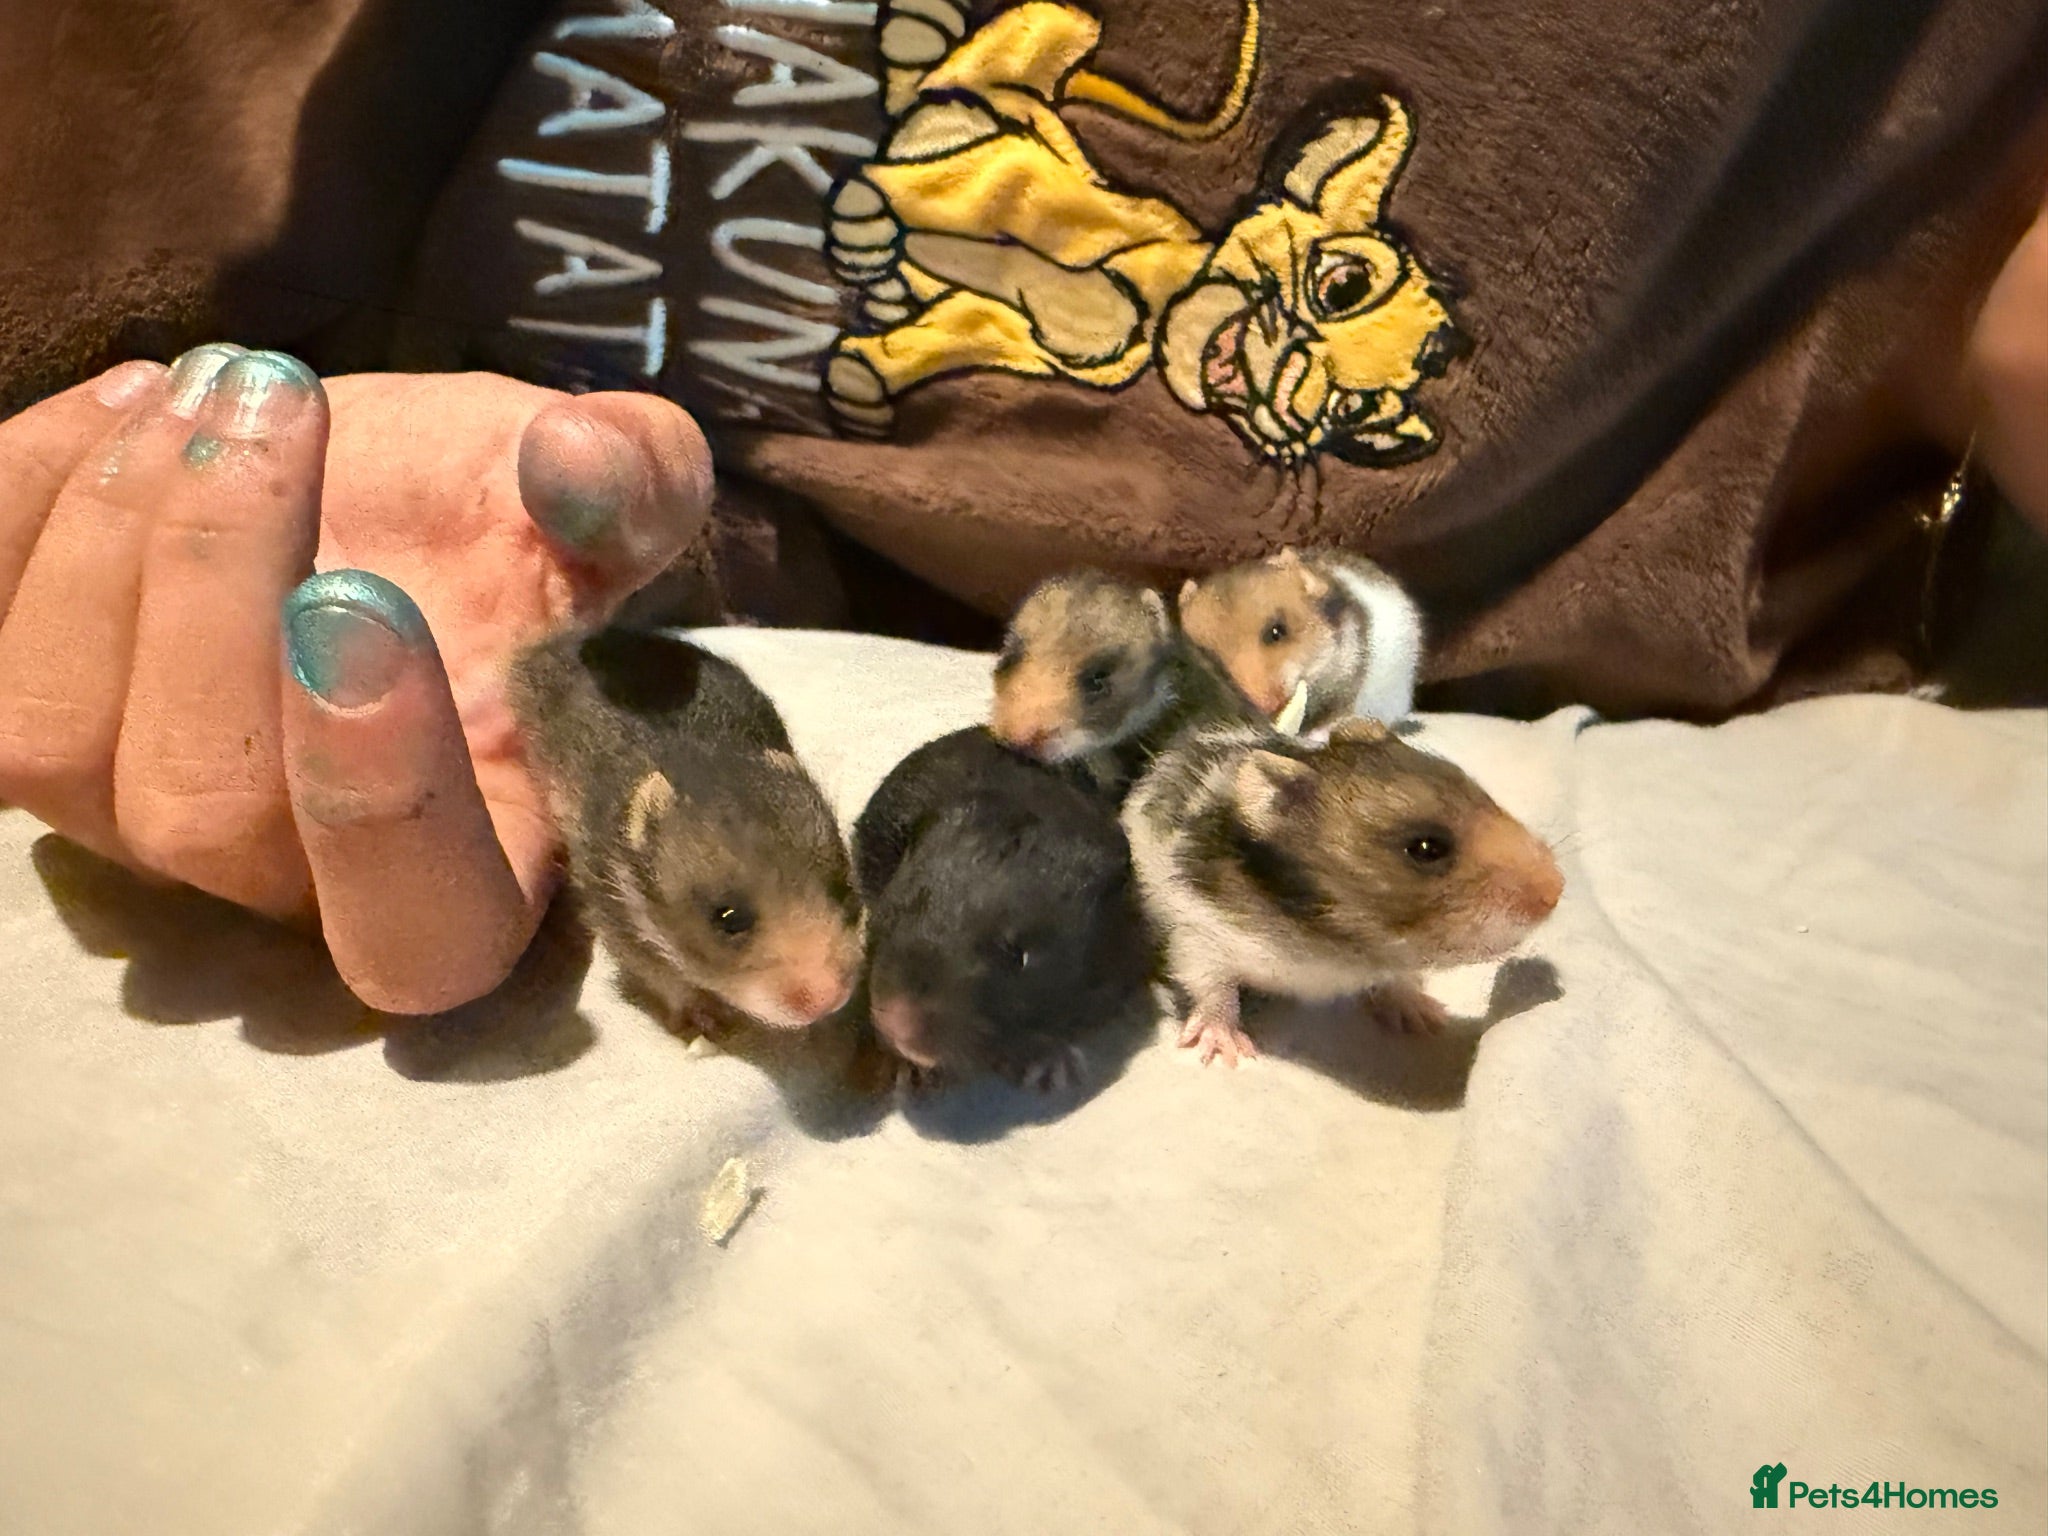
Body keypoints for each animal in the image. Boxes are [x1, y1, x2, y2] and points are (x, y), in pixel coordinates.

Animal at [507, 626, 862, 1033]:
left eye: (844, 886)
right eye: (728, 918)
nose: (829, 998)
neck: (700, 753)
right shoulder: (612, 905)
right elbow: (660, 975)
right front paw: (705, 1019)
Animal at [1121, 716, 1562, 1066]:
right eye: (1426, 848)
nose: (1558, 888)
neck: (1334, 947)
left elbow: (1398, 978)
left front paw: (1422, 1015)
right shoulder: (1199, 933)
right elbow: (1213, 988)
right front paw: (1227, 1047)